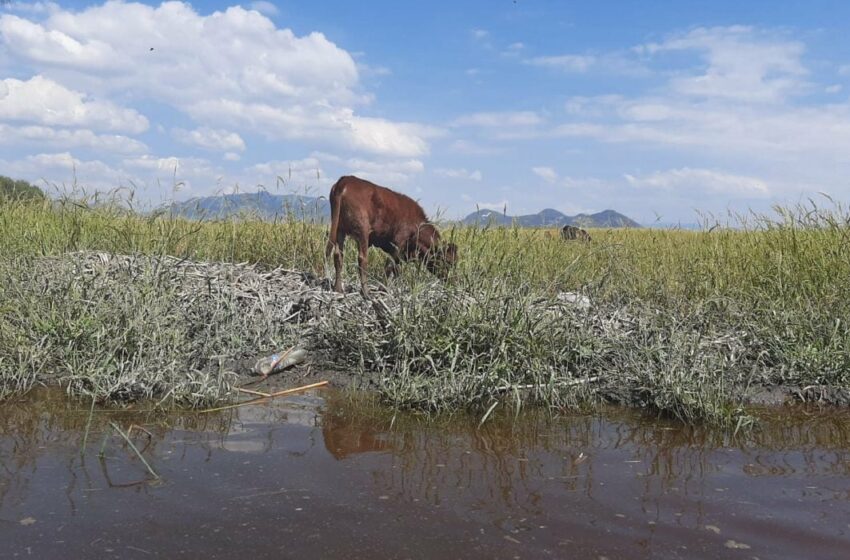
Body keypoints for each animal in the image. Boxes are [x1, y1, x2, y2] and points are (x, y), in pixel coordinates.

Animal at [324, 175, 458, 298]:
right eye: (448, 261)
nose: (451, 282)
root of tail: (346, 180)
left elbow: (397, 268)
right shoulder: (398, 242)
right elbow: (390, 265)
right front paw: (383, 289)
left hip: (340, 230)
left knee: (338, 256)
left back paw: (338, 289)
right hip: (363, 230)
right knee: (362, 259)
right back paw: (365, 292)